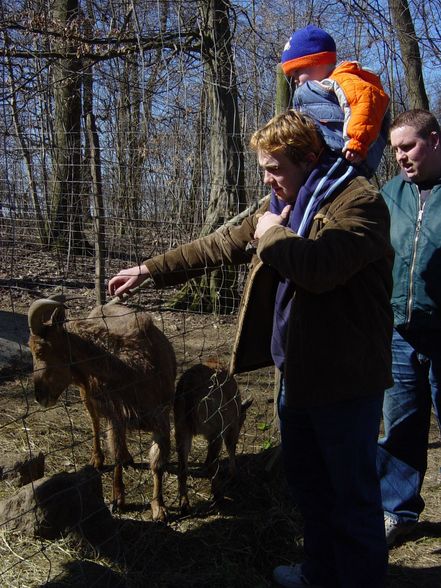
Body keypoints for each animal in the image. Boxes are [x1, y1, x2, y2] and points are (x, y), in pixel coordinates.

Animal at [26, 296, 175, 520]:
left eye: (40, 350)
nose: (40, 396)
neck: (133, 369)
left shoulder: (161, 417)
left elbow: (157, 462)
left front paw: (159, 507)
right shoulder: (116, 416)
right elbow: (116, 455)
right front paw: (117, 499)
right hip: (85, 392)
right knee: (95, 422)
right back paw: (97, 459)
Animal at [174, 358, 253, 510]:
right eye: (243, 418)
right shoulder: (230, 426)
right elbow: (231, 447)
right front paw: (233, 475)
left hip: (181, 428)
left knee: (182, 467)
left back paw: (184, 504)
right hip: (215, 429)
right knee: (211, 462)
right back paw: (218, 496)